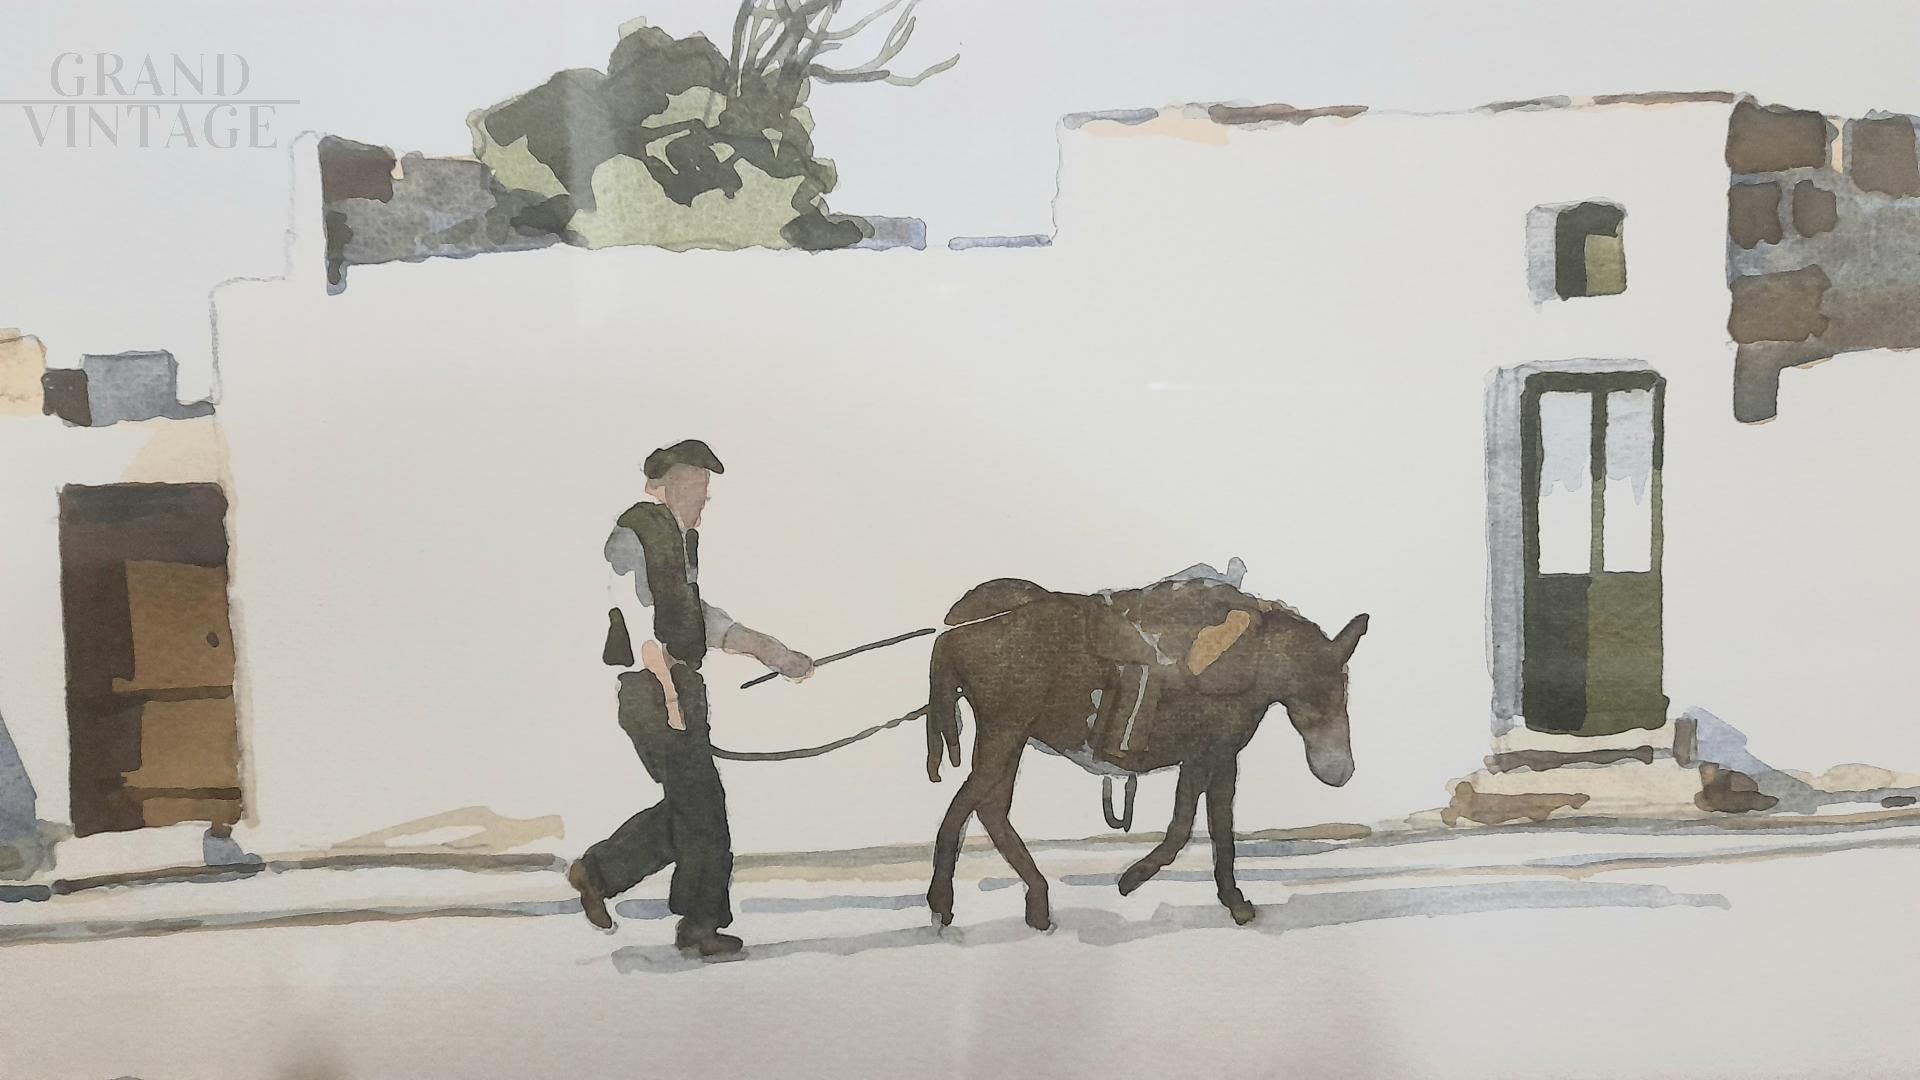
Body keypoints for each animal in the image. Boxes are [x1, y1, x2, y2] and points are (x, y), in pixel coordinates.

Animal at [923, 577, 1368, 930]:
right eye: (1321, 687)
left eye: (1344, 685)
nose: (1341, 770)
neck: (1253, 659)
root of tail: (954, 635)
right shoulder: (1203, 755)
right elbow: (1183, 827)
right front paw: (1131, 880)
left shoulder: (1222, 757)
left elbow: (1221, 830)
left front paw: (1235, 903)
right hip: (1004, 733)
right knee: (966, 807)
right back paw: (943, 904)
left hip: (1009, 739)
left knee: (989, 810)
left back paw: (1037, 905)